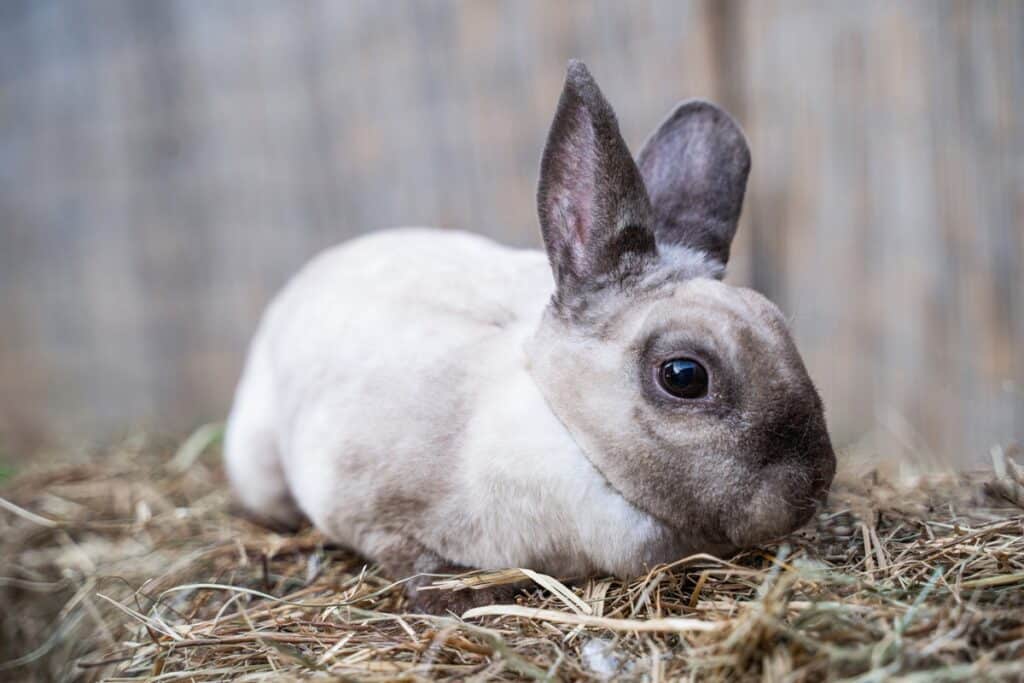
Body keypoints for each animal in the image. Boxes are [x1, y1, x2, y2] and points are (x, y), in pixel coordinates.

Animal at [224, 60, 836, 614]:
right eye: (684, 376)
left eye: (778, 323)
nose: (811, 487)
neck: (557, 419)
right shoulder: (364, 502)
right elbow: (406, 555)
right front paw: (457, 596)